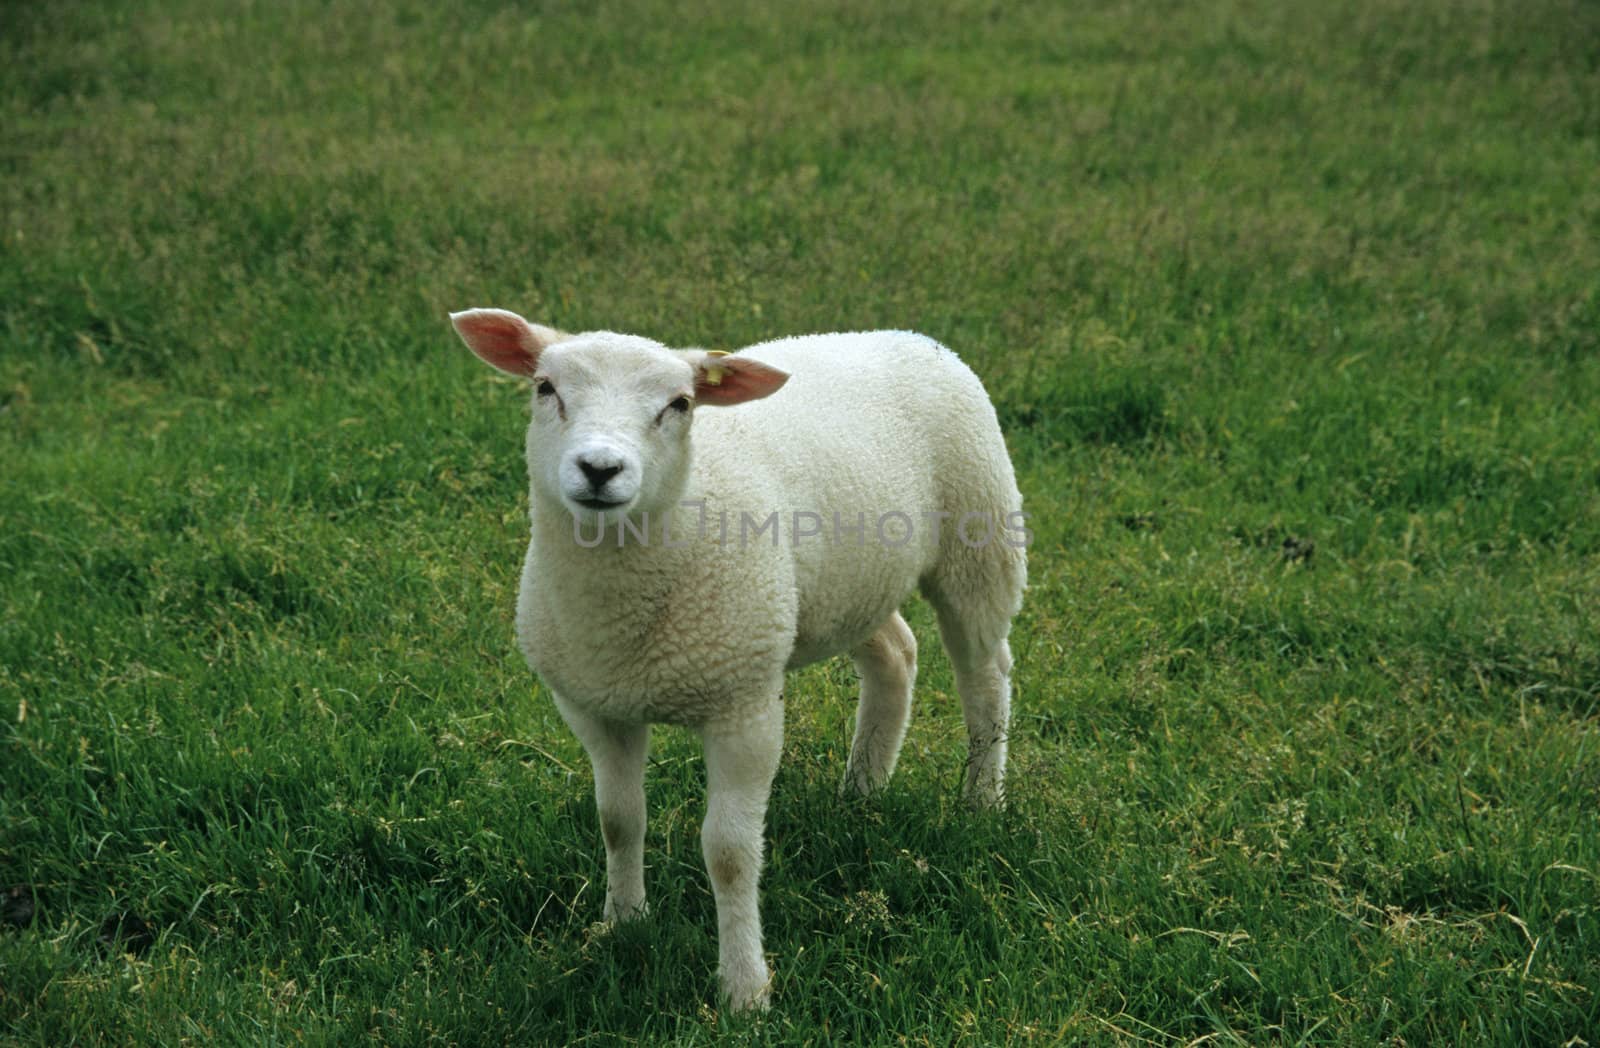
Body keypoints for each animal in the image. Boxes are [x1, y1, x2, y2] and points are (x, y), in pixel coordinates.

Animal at [451, 307, 1024, 1011]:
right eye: (545, 389)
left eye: (680, 404)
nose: (599, 469)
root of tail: (906, 336)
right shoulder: (597, 707)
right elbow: (618, 821)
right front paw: (622, 925)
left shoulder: (743, 706)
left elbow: (728, 853)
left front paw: (745, 990)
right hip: (841, 588)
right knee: (895, 653)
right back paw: (862, 790)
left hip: (980, 537)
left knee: (985, 677)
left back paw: (981, 801)